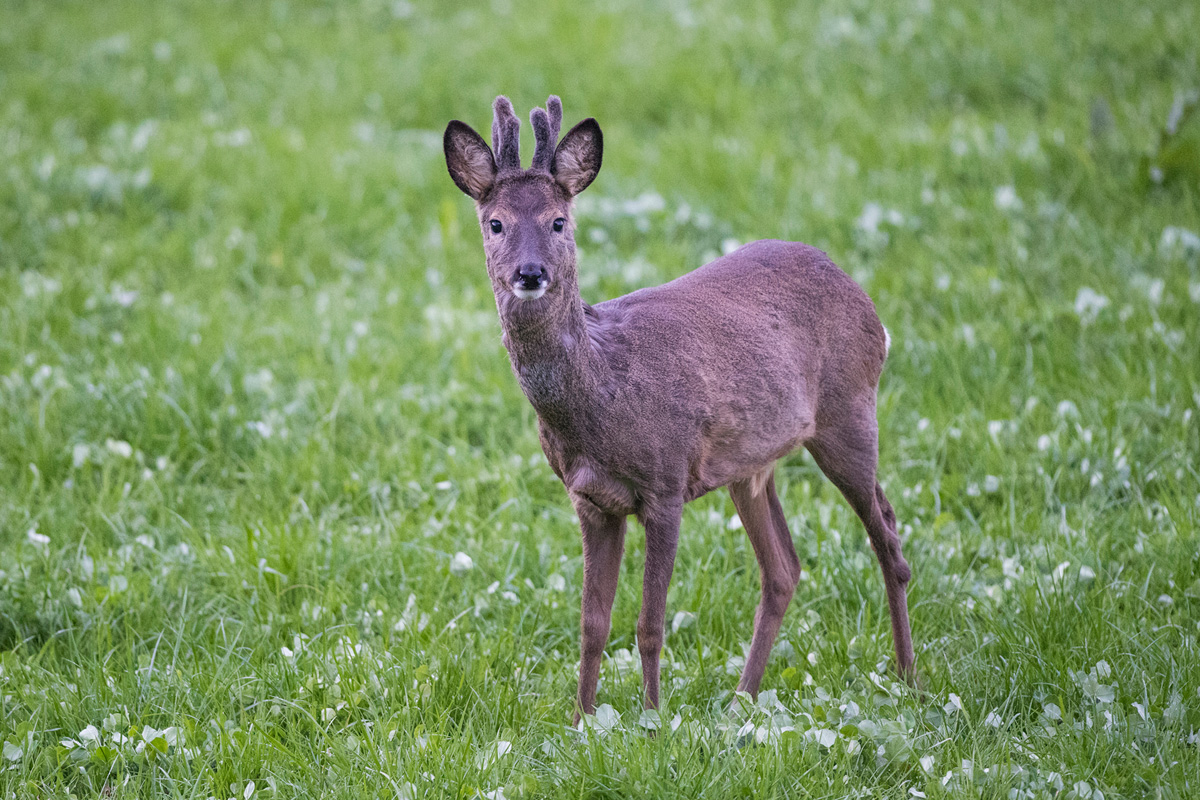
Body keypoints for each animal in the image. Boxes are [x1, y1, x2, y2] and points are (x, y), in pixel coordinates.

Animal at [446, 97, 912, 724]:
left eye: (558, 221)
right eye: (494, 223)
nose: (530, 274)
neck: (603, 395)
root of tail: (868, 304)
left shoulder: (665, 484)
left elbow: (648, 624)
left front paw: (651, 720)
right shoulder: (590, 499)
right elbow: (592, 624)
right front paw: (582, 721)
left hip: (850, 410)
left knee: (887, 536)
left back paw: (909, 679)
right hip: (751, 464)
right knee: (783, 568)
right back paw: (742, 699)